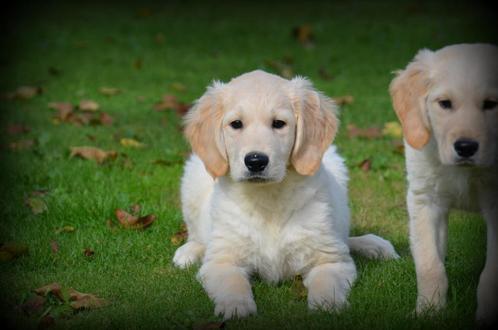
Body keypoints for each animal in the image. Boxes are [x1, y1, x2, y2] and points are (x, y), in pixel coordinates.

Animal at [175, 70, 400, 320]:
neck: (268, 197)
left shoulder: (330, 259)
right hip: (192, 180)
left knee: (344, 239)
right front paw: (236, 307)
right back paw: (188, 252)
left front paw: (328, 306)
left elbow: (326, 283)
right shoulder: (221, 260)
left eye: (278, 124)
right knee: (196, 235)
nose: (256, 161)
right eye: (236, 124)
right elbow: (232, 283)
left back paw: (375, 245)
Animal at [390, 43, 498, 324]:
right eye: (445, 104)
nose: (466, 147)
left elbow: (491, 273)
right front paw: (428, 310)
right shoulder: (425, 199)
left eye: (491, 104)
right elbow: (430, 263)